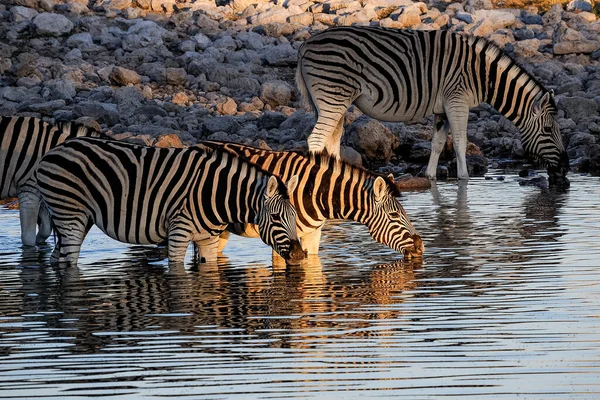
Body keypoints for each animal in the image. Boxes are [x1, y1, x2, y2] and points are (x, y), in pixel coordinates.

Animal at [34, 138, 304, 266]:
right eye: (276, 217)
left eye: (294, 217)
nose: (300, 255)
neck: (215, 193)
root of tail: (53, 151)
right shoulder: (179, 232)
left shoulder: (208, 240)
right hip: (70, 214)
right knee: (68, 261)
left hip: (77, 218)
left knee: (56, 258)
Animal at [298, 26, 568, 184]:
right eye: (548, 130)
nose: (565, 167)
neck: (482, 75)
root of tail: (306, 43)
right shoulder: (458, 100)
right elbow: (459, 142)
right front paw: (464, 178)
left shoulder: (443, 107)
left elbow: (438, 143)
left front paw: (430, 177)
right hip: (334, 96)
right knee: (316, 140)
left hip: (336, 102)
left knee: (331, 140)